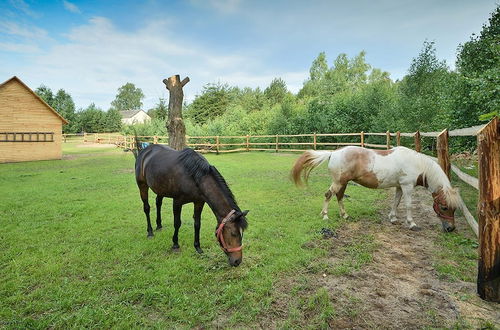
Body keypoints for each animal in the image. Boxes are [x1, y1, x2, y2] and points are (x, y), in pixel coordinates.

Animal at [292, 146, 460, 231]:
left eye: (454, 209)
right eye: (444, 207)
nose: (451, 229)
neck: (417, 164)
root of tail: (333, 153)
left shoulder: (399, 187)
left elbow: (396, 203)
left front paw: (393, 218)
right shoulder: (407, 186)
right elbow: (408, 205)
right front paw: (411, 223)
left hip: (343, 183)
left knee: (339, 197)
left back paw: (345, 215)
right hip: (338, 182)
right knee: (328, 195)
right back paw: (325, 215)